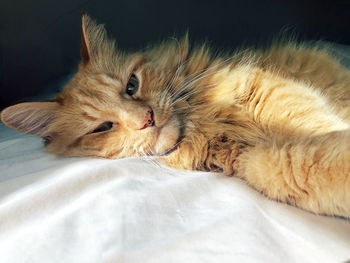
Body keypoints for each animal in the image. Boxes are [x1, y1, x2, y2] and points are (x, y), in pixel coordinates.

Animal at [0, 13, 350, 218]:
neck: (203, 123)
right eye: (102, 128)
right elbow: (299, 164)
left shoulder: (270, 93)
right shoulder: (257, 159)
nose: (147, 119)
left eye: (131, 85)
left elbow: (317, 128)